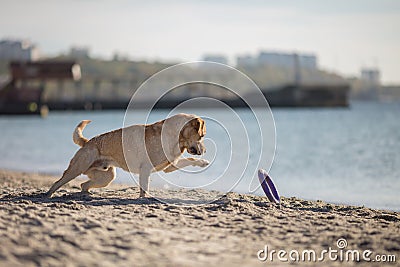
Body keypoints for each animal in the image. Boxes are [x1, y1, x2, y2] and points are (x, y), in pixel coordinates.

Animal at [46, 113, 209, 199]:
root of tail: (88, 142)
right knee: (57, 183)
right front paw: (144, 198)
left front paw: (203, 163)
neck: (177, 137)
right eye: (201, 136)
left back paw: (87, 195)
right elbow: (144, 188)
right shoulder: (145, 169)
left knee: (83, 185)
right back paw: (47, 195)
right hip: (77, 168)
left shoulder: (169, 166)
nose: (205, 151)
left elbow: (190, 159)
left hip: (107, 177)